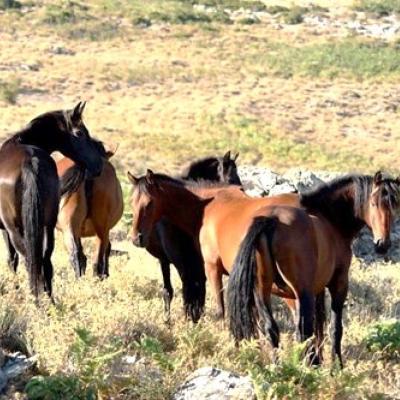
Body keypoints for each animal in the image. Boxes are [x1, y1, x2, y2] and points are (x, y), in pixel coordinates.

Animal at [0, 101, 103, 298]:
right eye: (80, 133)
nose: (98, 164)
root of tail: (30, 162)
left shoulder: (5, 230)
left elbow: (11, 260)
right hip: (47, 224)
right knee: (45, 261)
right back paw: (49, 300)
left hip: (16, 228)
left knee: (29, 260)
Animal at [130, 170, 398, 366]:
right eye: (133, 202)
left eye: (149, 203)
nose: (136, 238)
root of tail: (270, 221)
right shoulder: (331, 285)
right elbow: (331, 328)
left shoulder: (216, 271)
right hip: (290, 291)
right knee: (298, 329)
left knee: (290, 328)